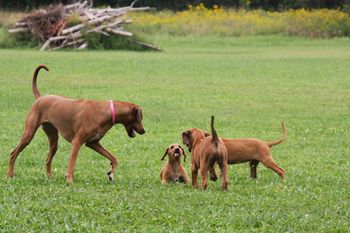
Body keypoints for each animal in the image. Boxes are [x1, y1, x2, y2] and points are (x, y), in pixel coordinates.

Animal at [7, 64, 146, 184]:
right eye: (141, 118)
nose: (144, 131)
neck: (107, 111)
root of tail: (40, 97)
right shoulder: (77, 142)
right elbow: (72, 164)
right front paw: (69, 180)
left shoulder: (93, 143)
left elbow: (114, 158)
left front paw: (111, 173)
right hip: (28, 134)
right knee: (13, 153)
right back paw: (10, 175)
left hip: (53, 140)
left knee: (47, 159)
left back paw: (50, 177)